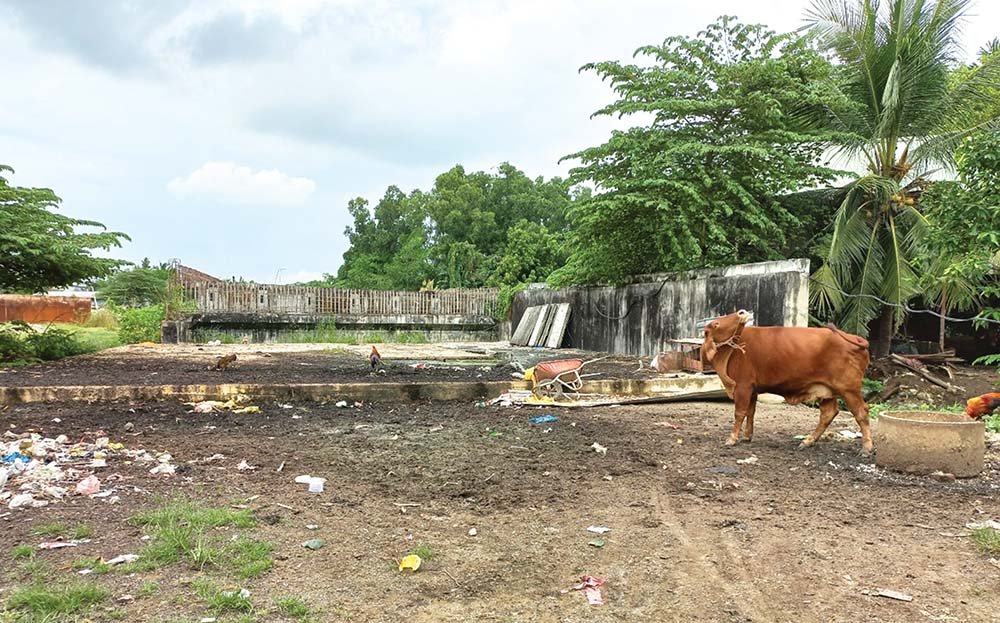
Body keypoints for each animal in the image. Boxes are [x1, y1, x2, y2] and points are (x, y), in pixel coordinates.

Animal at [700, 310, 872, 454]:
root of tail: (855, 338)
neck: (731, 351)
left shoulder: (743, 386)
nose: (741, 312)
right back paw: (807, 441)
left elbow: (739, 413)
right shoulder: (753, 389)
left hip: (849, 389)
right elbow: (750, 412)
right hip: (827, 391)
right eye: (715, 324)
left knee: (861, 412)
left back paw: (867, 447)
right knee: (828, 414)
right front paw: (747, 436)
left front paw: (732, 438)